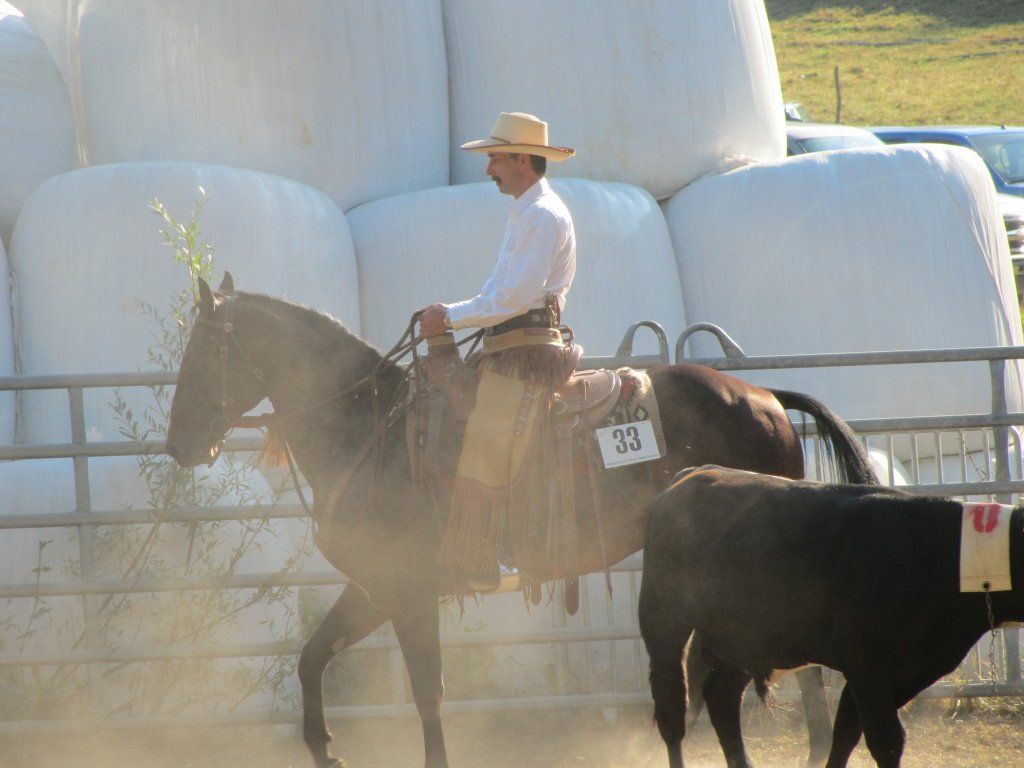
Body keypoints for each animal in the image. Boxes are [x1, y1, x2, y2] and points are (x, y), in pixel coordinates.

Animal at [165, 275, 878, 768]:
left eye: (201, 354)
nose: (178, 445)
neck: (373, 429)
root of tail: (766, 397)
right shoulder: (376, 588)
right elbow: (312, 658)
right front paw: (326, 748)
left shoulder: (410, 593)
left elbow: (427, 691)